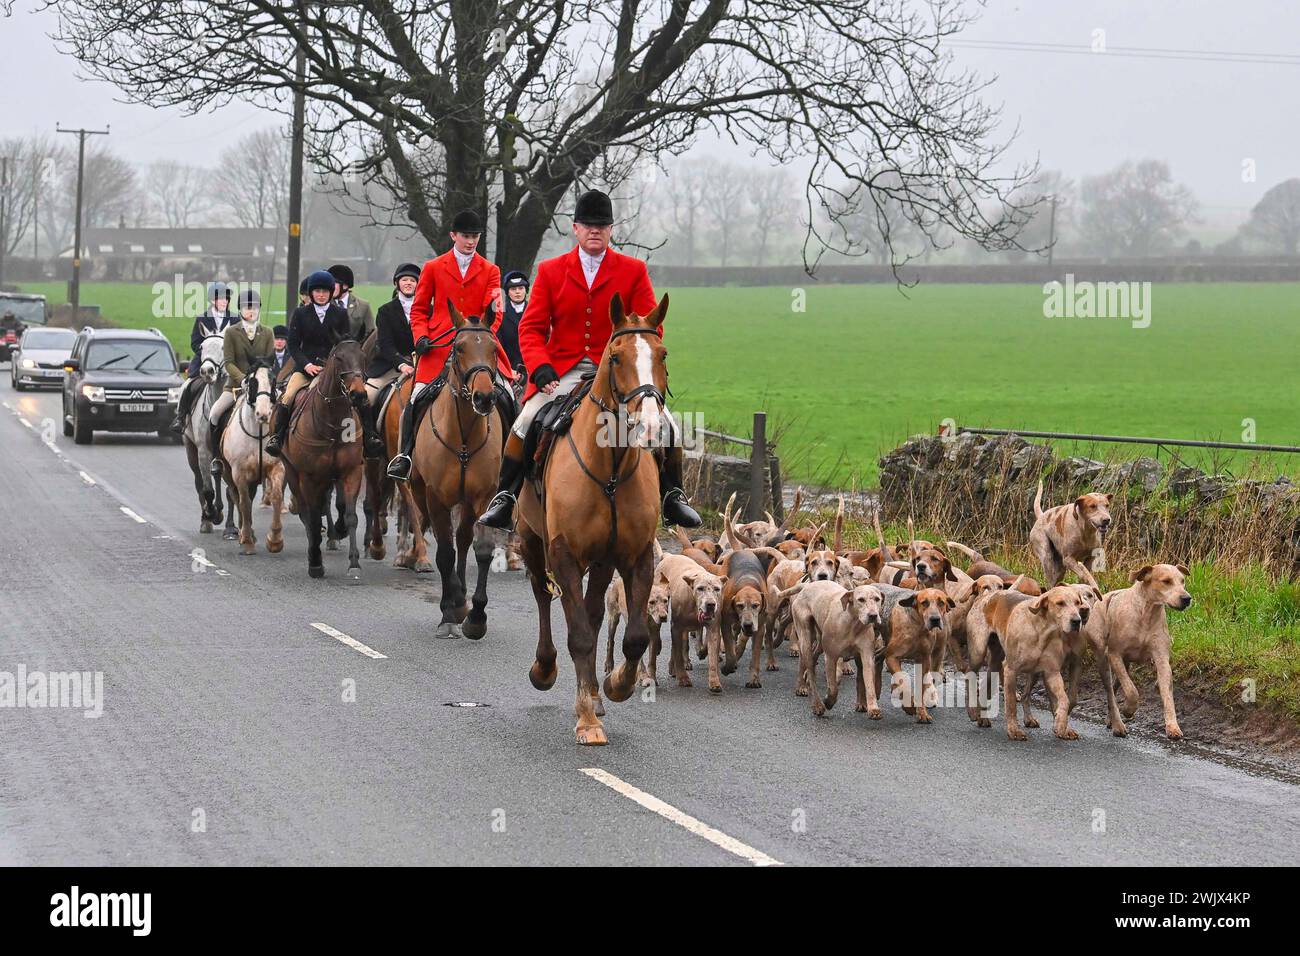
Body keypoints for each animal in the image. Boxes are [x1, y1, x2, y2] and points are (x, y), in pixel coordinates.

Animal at [219, 366, 286, 561]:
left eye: (273, 381)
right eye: (252, 382)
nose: (263, 415)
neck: (257, 433)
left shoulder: (276, 467)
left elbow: (276, 496)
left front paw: (275, 540)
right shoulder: (239, 473)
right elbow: (244, 503)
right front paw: (248, 542)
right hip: (228, 473)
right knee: (236, 497)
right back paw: (243, 534)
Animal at [279, 335, 369, 574]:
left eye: (363, 356)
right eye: (338, 358)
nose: (358, 394)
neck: (334, 425)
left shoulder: (351, 472)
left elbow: (350, 515)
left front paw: (354, 562)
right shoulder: (309, 477)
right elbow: (311, 517)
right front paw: (315, 562)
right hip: (293, 473)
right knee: (305, 512)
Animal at [408, 303, 504, 639]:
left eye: (494, 348)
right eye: (458, 348)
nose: (484, 397)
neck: (463, 434)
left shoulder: (485, 496)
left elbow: (482, 549)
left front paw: (476, 616)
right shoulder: (436, 497)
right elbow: (444, 553)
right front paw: (451, 612)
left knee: (462, 539)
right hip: (420, 492)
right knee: (448, 544)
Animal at [517, 293, 676, 749]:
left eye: (662, 354)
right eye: (617, 357)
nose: (652, 428)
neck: (610, 467)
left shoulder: (636, 556)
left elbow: (635, 636)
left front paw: (616, 686)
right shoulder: (564, 555)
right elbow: (579, 636)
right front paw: (587, 720)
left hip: (603, 561)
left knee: (590, 611)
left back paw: (592, 694)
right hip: (531, 542)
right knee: (544, 599)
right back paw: (546, 669)